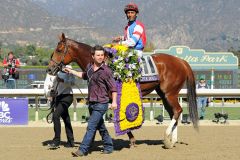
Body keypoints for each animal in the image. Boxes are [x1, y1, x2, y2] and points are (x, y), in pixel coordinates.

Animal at [47, 33, 198, 149]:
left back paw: (167, 138)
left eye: (59, 50)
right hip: (163, 93)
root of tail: (181, 61)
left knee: (177, 111)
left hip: (170, 93)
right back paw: (172, 141)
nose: (49, 68)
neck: (102, 63)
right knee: (174, 113)